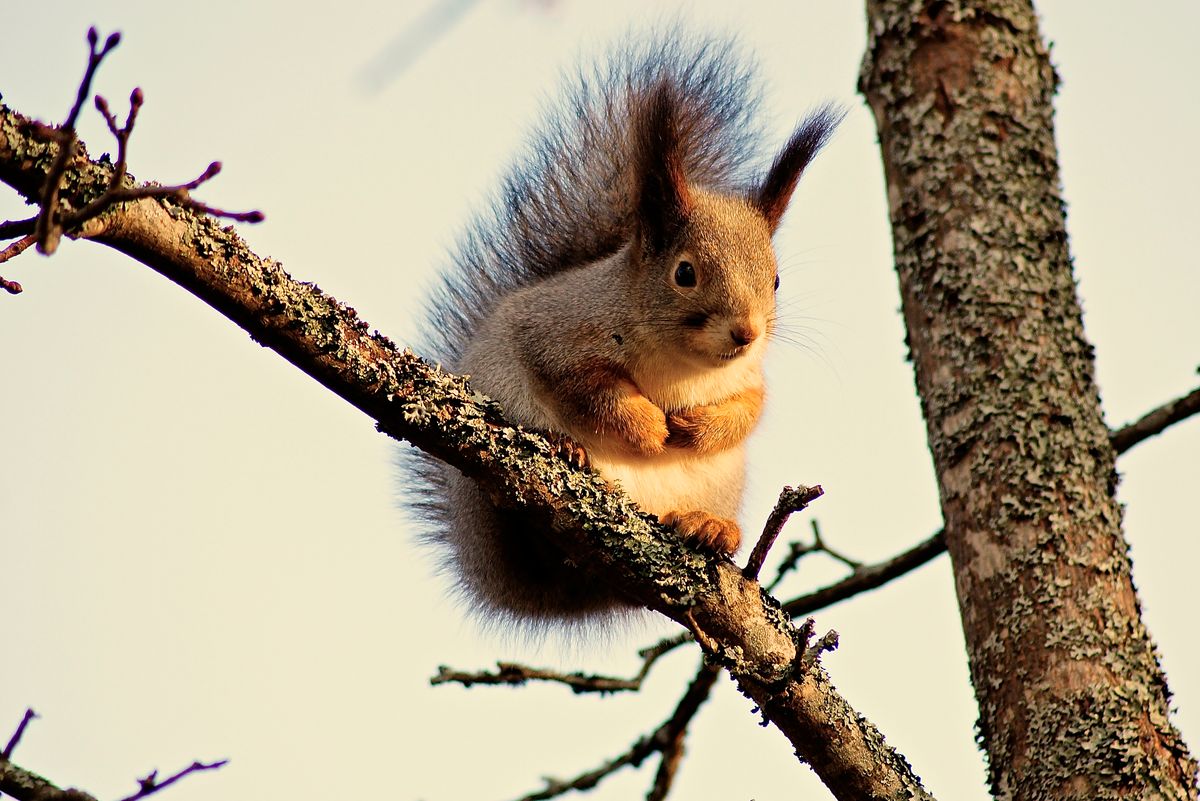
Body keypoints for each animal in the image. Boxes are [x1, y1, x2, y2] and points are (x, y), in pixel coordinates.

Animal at [408, 34, 840, 628]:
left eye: (775, 280)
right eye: (685, 273)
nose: (746, 333)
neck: (682, 364)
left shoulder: (749, 378)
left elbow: (749, 409)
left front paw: (694, 429)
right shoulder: (557, 333)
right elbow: (587, 385)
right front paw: (650, 428)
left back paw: (711, 527)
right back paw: (567, 452)